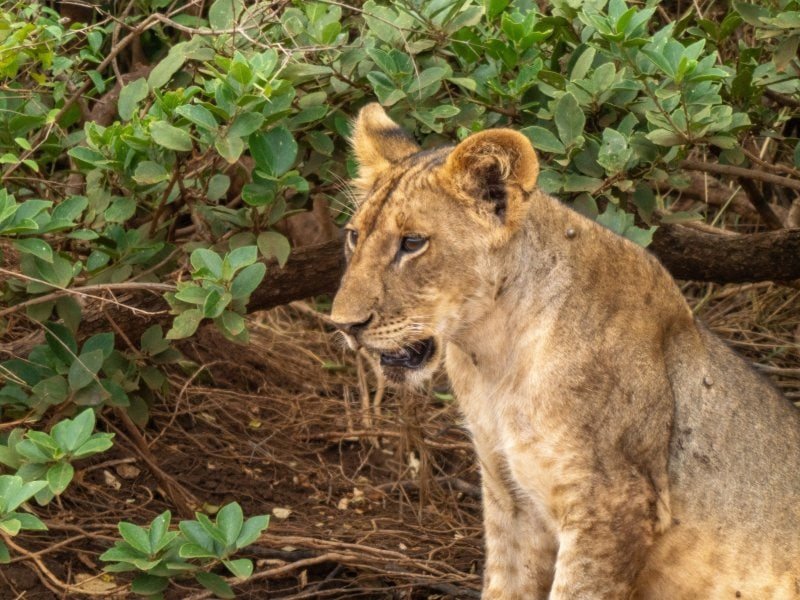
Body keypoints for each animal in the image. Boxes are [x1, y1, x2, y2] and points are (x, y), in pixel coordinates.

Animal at [330, 103, 800, 599]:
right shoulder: (509, 498)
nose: (344, 324)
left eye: (413, 243)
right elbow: (504, 587)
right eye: (353, 236)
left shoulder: (615, 505)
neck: (492, 357)